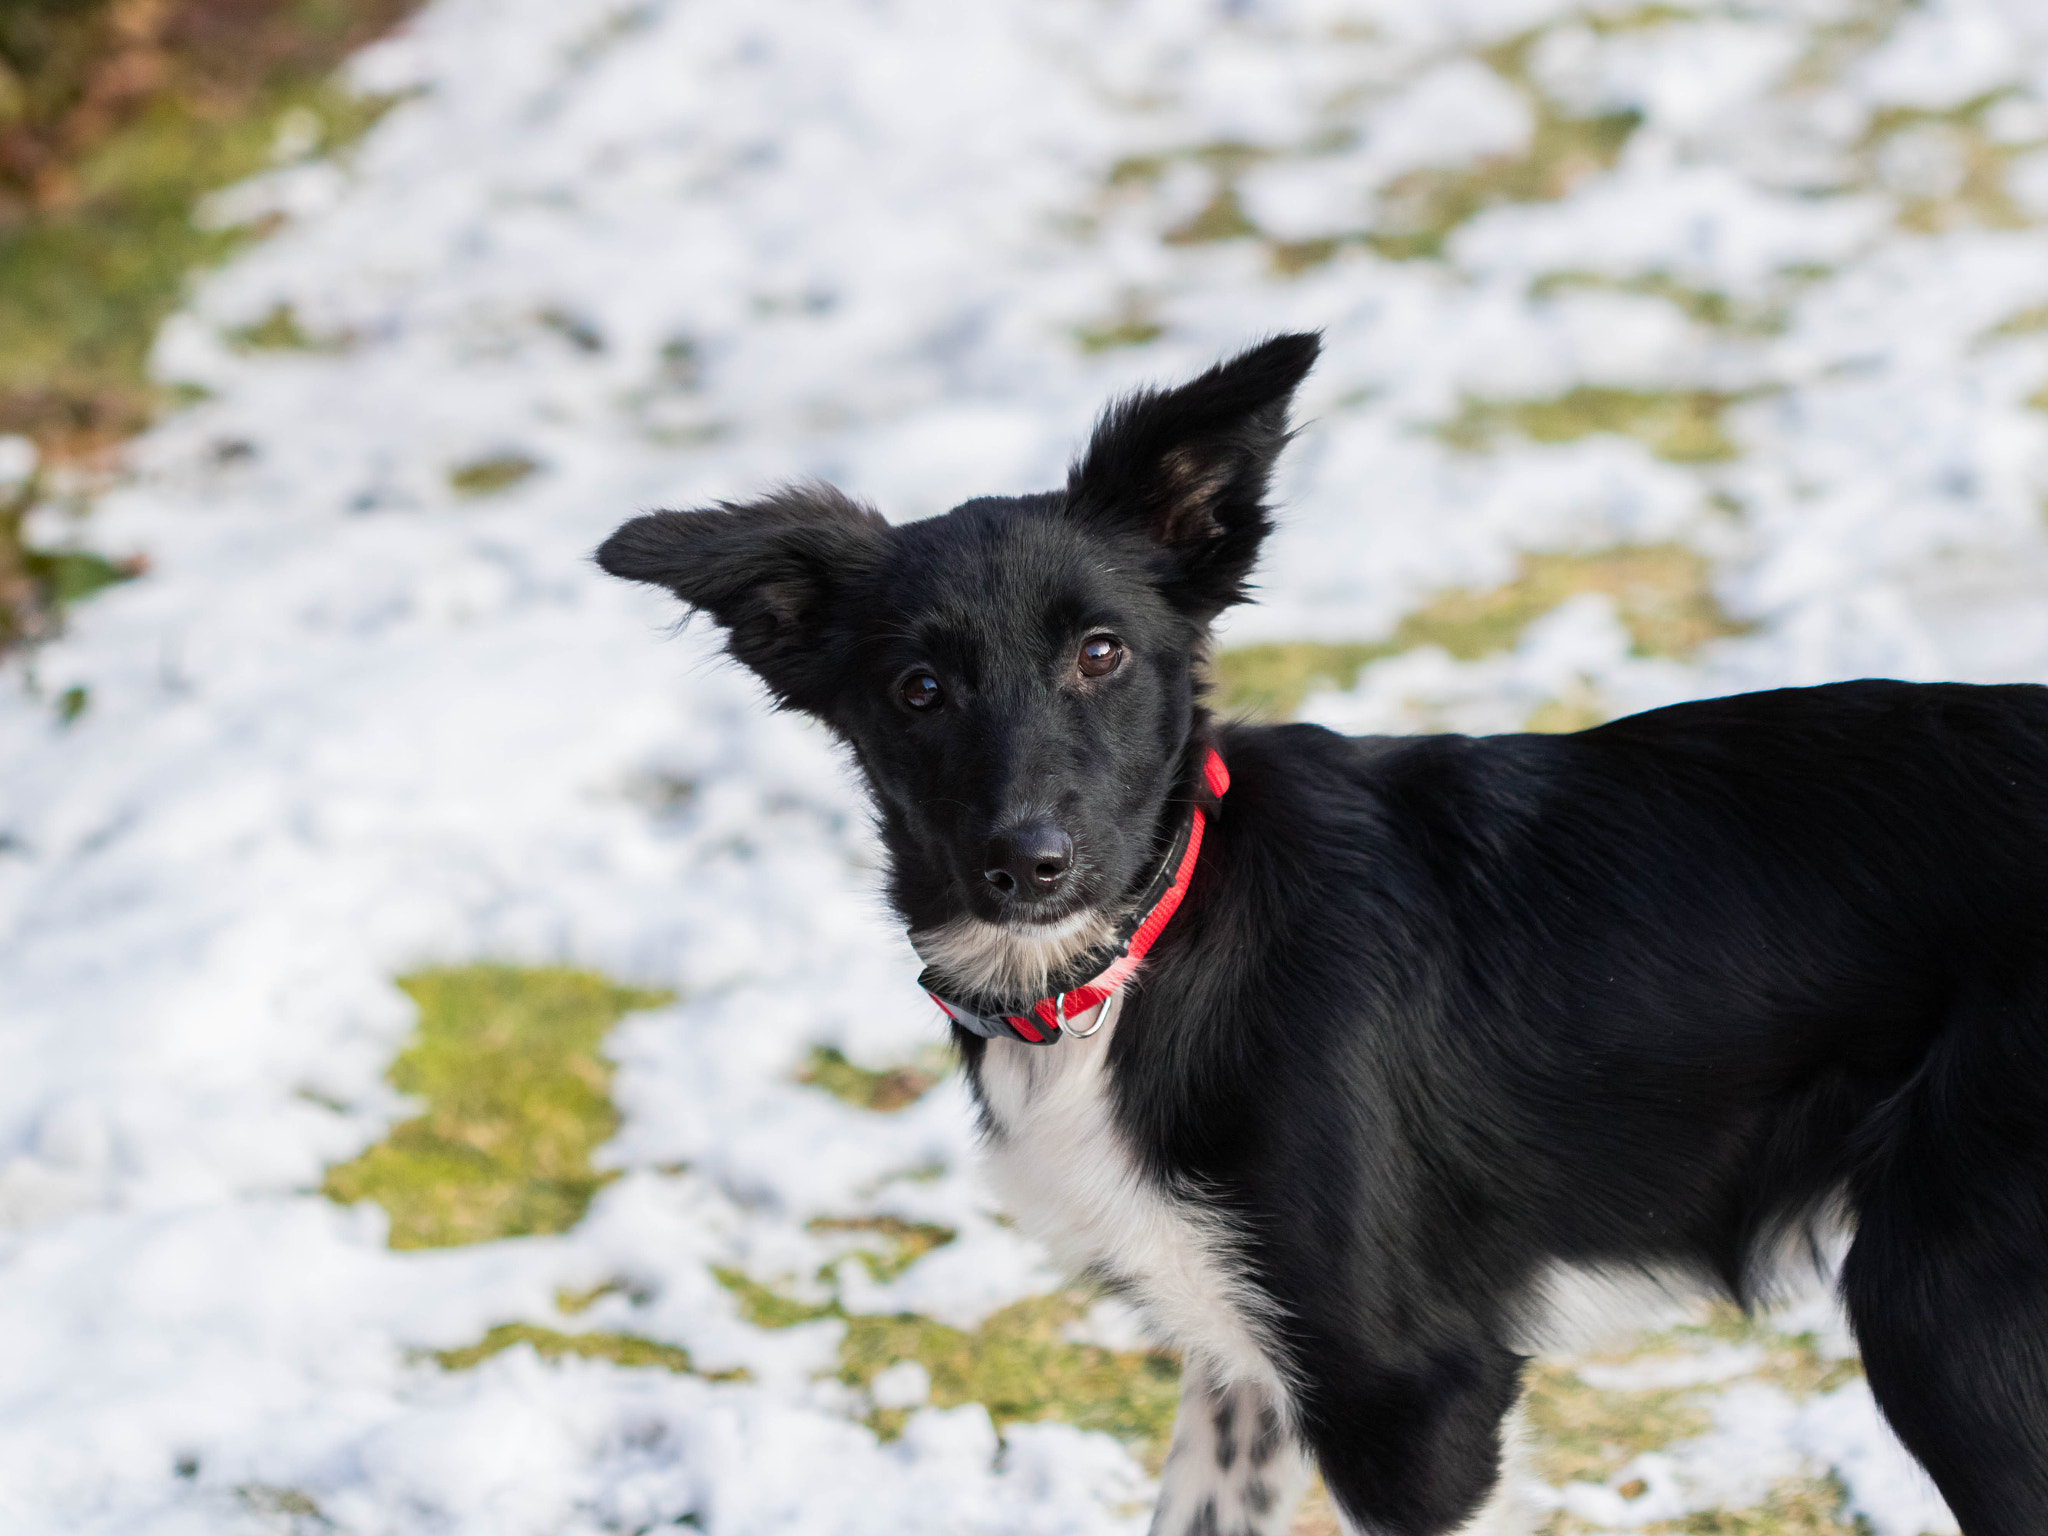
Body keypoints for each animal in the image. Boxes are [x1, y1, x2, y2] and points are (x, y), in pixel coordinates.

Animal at [598, 335, 2048, 1536]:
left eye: (1101, 653)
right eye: (916, 689)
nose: (1028, 863)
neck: (1140, 961)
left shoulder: (1413, 1396)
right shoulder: (1241, 1353)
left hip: (1948, 1322)